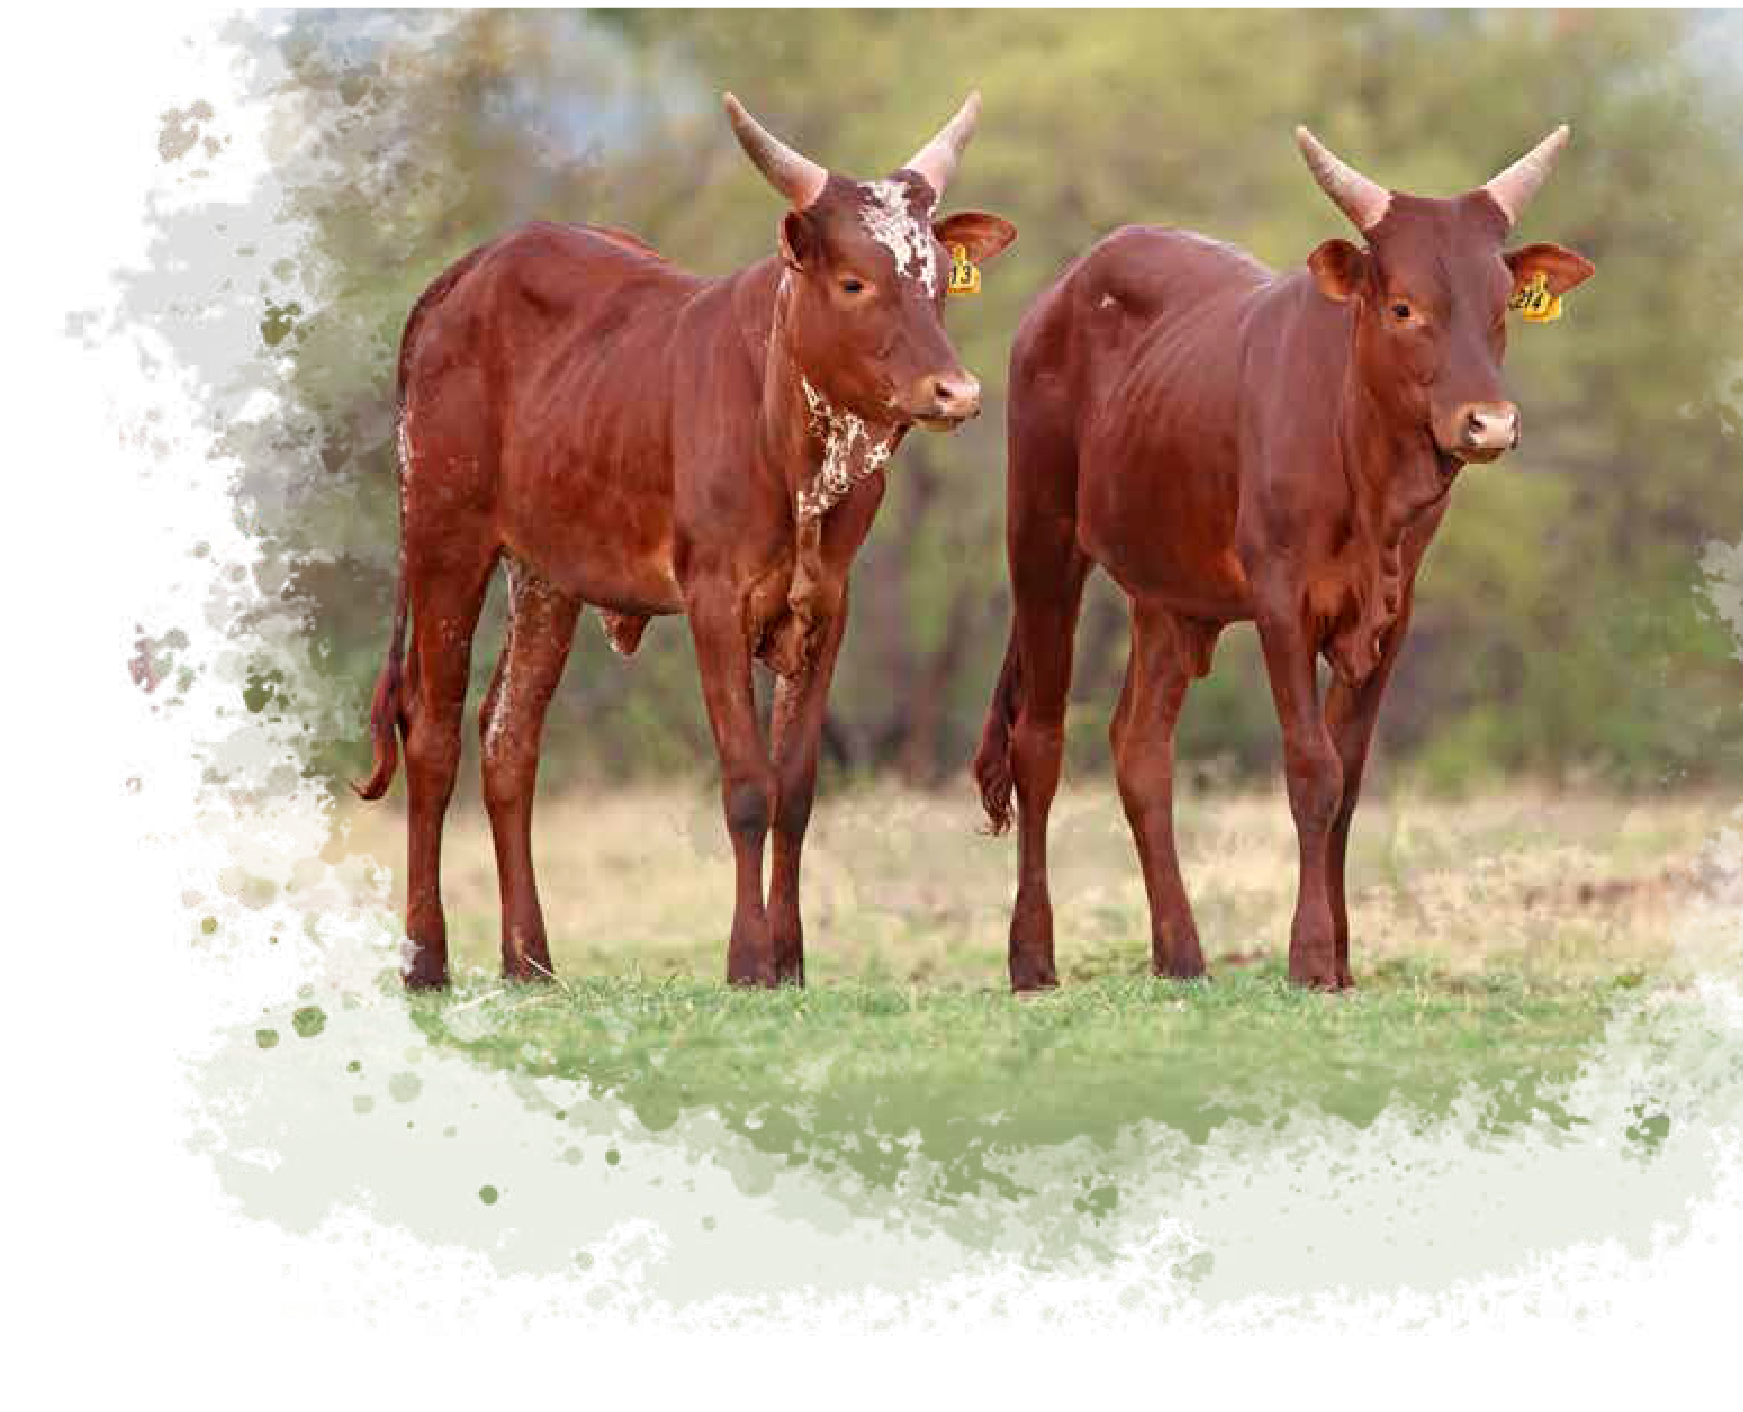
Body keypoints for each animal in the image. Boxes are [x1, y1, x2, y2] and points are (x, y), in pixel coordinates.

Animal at [355, 94, 1016, 990]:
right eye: (853, 281)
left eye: (941, 280)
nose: (955, 392)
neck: (790, 439)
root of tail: (466, 273)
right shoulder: (714, 601)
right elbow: (746, 786)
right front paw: (747, 959)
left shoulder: (827, 605)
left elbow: (794, 789)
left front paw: (789, 958)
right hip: (441, 539)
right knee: (432, 736)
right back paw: (425, 960)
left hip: (544, 575)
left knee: (508, 740)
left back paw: (530, 960)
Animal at [973, 126, 1594, 992]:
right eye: (1403, 307)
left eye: (1501, 304)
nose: (1489, 423)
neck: (1362, 467)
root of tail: (1064, 290)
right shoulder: (1280, 603)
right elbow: (1311, 769)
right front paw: (1307, 957)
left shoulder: (1391, 617)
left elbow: (1350, 777)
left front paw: (1339, 959)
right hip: (1041, 541)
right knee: (1039, 741)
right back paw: (1032, 957)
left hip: (1167, 597)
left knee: (1139, 748)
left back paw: (1181, 955)